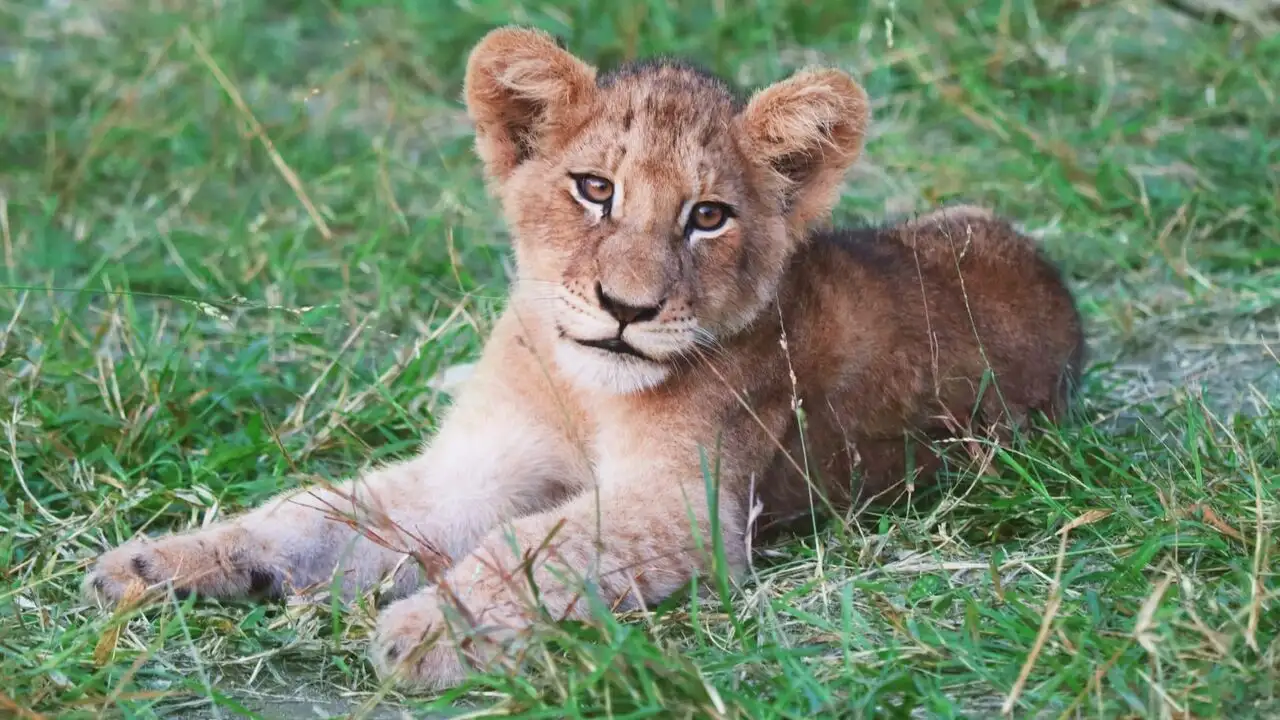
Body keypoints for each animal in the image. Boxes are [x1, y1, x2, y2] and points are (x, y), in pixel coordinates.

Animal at [84, 26, 1086, 690]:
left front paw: (425, 631)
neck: (581, 387)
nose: (627, 309)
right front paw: (148, 566)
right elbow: (319, 513)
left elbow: (531, 550)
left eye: (708, 216)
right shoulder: (474, 470)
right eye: (594, 189)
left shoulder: (687, 506)